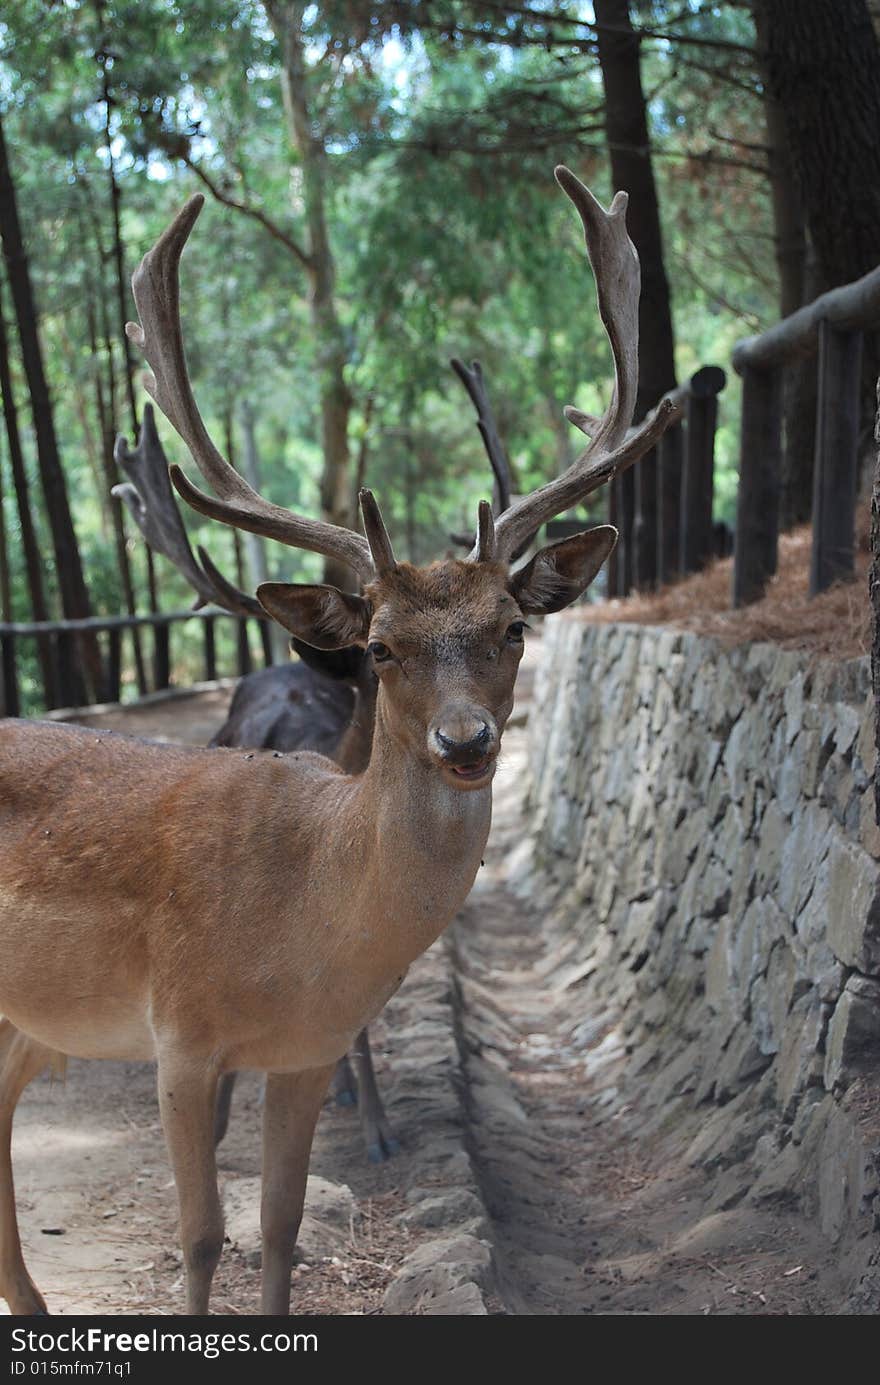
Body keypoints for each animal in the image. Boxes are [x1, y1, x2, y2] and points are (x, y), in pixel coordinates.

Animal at [0, 167, 673, 1312]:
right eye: (382, 644)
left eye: (512, 625)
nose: (464, 738)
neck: (304, 922)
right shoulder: (180, 1034)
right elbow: (199, 1235)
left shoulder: (307, 1050)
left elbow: (279, 1226)